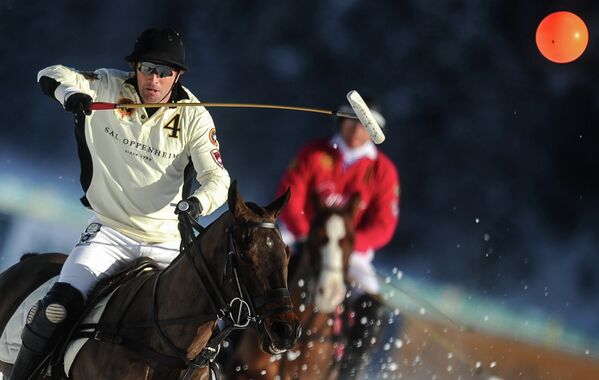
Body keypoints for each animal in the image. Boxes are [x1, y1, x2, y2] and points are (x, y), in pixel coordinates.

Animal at [0, 183, 300, 378]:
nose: (287, 331)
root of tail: (28, 260)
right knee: (56, 309)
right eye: (244, 253)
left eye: (287, 254)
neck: (168, 347)